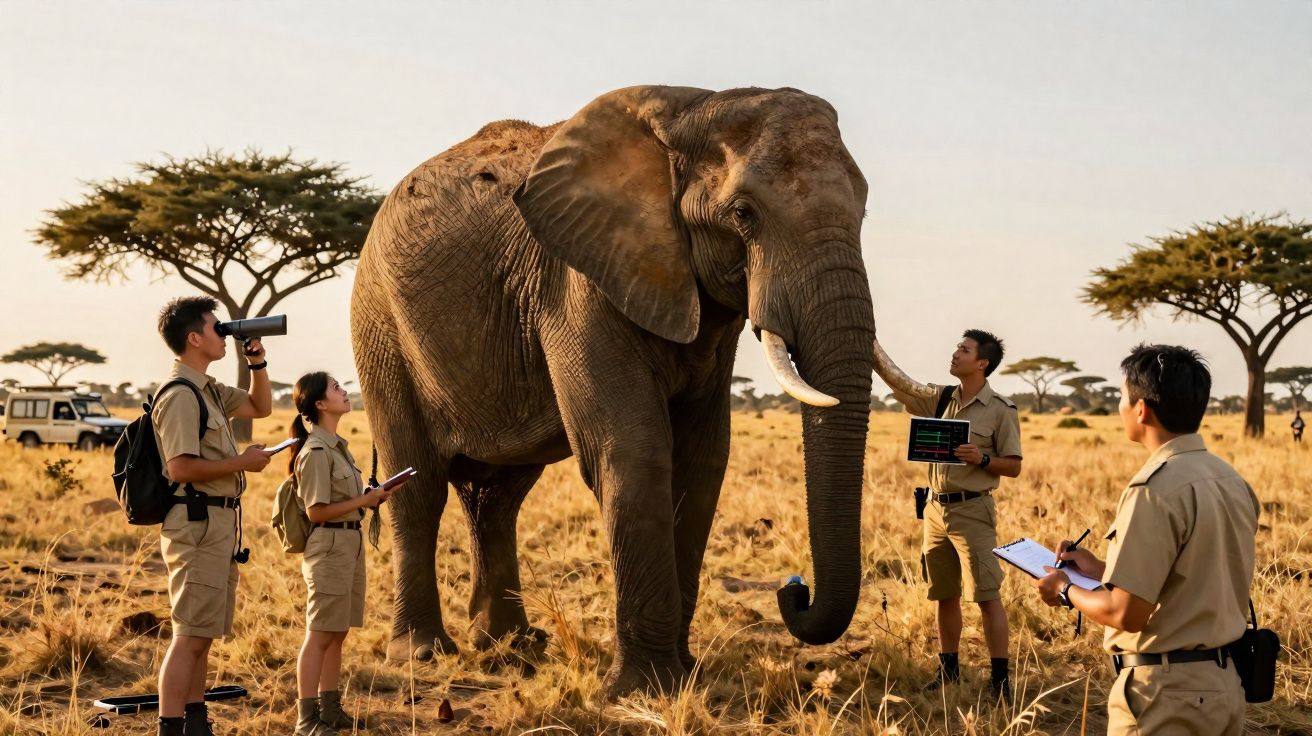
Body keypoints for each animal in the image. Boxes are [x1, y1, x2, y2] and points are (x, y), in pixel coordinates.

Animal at [350, 85, 913, 697]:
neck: (692, 111)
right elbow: (634, 451)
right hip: (379, 327)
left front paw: (684, 675)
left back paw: (509, 647)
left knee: (498, 496)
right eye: (743, 214)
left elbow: (702, 459)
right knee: (418, 486)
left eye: (862, 210)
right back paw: (423, 652)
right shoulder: (578, 283)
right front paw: (646, 689)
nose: (794, 588)